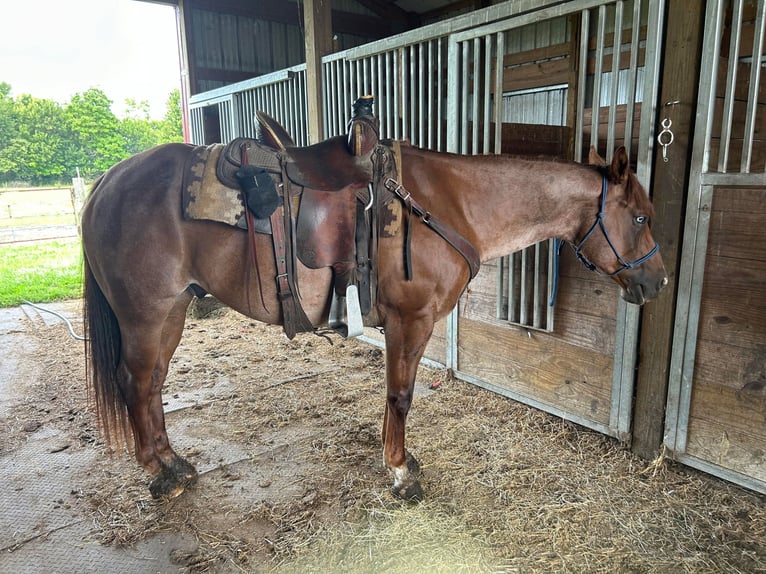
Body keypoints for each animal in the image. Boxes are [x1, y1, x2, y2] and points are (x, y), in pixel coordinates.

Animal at [81, 138, 667, 501]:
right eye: (641, 217)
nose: (657, 282)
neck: (448, 204)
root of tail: (107, 181)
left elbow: (391, 395)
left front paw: (395, 458)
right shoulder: (413, 320)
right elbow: (402, 396)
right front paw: (402, 473)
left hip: (172, 312)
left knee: (153, 385)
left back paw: (173, 463)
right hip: (146, 315)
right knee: (135, 383)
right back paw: (159, 474)